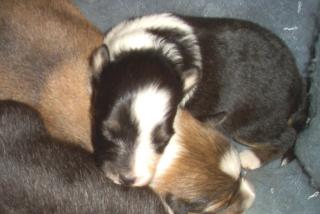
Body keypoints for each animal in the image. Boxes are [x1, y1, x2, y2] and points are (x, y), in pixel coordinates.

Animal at [90, 13, 308, 186]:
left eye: (164, 140)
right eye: (108, 131)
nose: (128, 179)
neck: (150, 49)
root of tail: (299, 84)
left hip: (251, 124)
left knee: (287, 135)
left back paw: (252, 157)